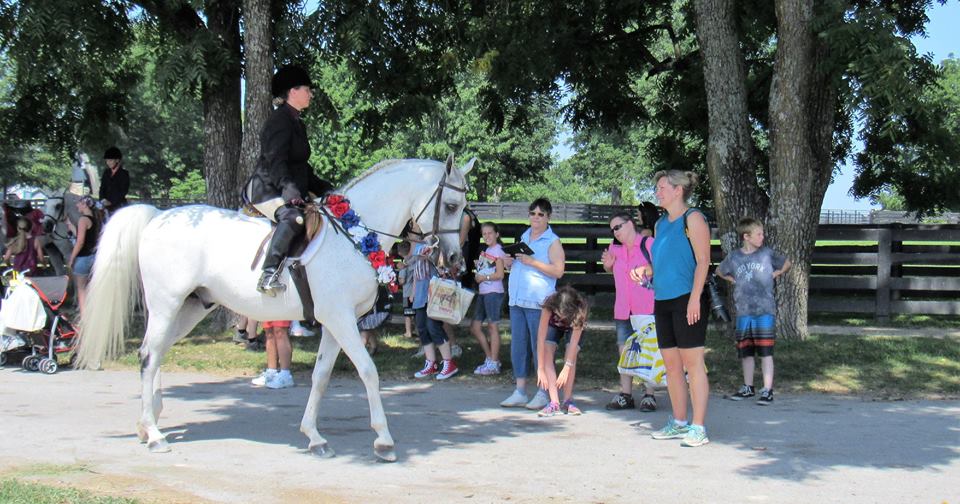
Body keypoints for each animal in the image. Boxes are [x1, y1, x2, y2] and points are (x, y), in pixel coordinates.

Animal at [75, 156, 475, 462]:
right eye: (451, 206)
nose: (455, 259)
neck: (356, 235)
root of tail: (158, 216)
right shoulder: (341, 319)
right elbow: (368, 371)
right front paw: (384, 441)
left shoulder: (335, 323)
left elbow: (321, 376)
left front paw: (314, 437)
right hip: (166, 304)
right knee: (148, 355)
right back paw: (154, 433)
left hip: (189, 308)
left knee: (155, 353)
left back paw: (149, 424)